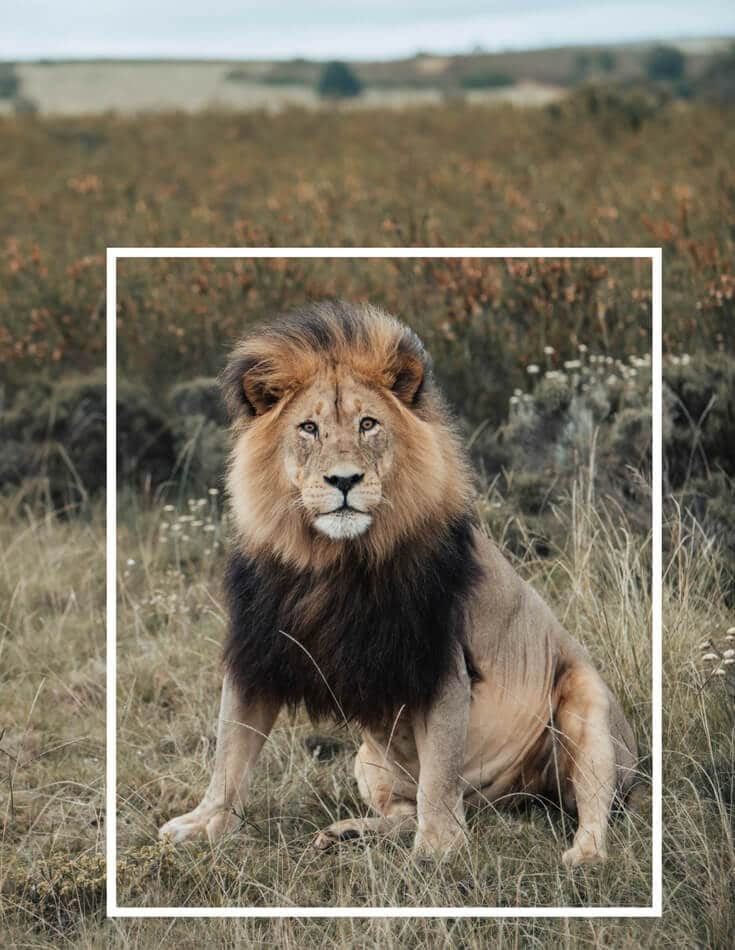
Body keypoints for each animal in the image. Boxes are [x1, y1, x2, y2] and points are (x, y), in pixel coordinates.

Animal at [159, 301, 638, 867]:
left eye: (368, 424)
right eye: (309, 428)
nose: (344, 480)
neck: (334, 561)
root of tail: (501, 802)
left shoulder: (441, 661)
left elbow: (440, 772)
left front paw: (439, 848)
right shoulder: (258, 649)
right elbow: (229, 751)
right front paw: (202, 824)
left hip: (589, 708)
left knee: (593, 804)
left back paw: (583, 856)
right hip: (367, 759)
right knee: (402, 809)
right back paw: (350, 832)